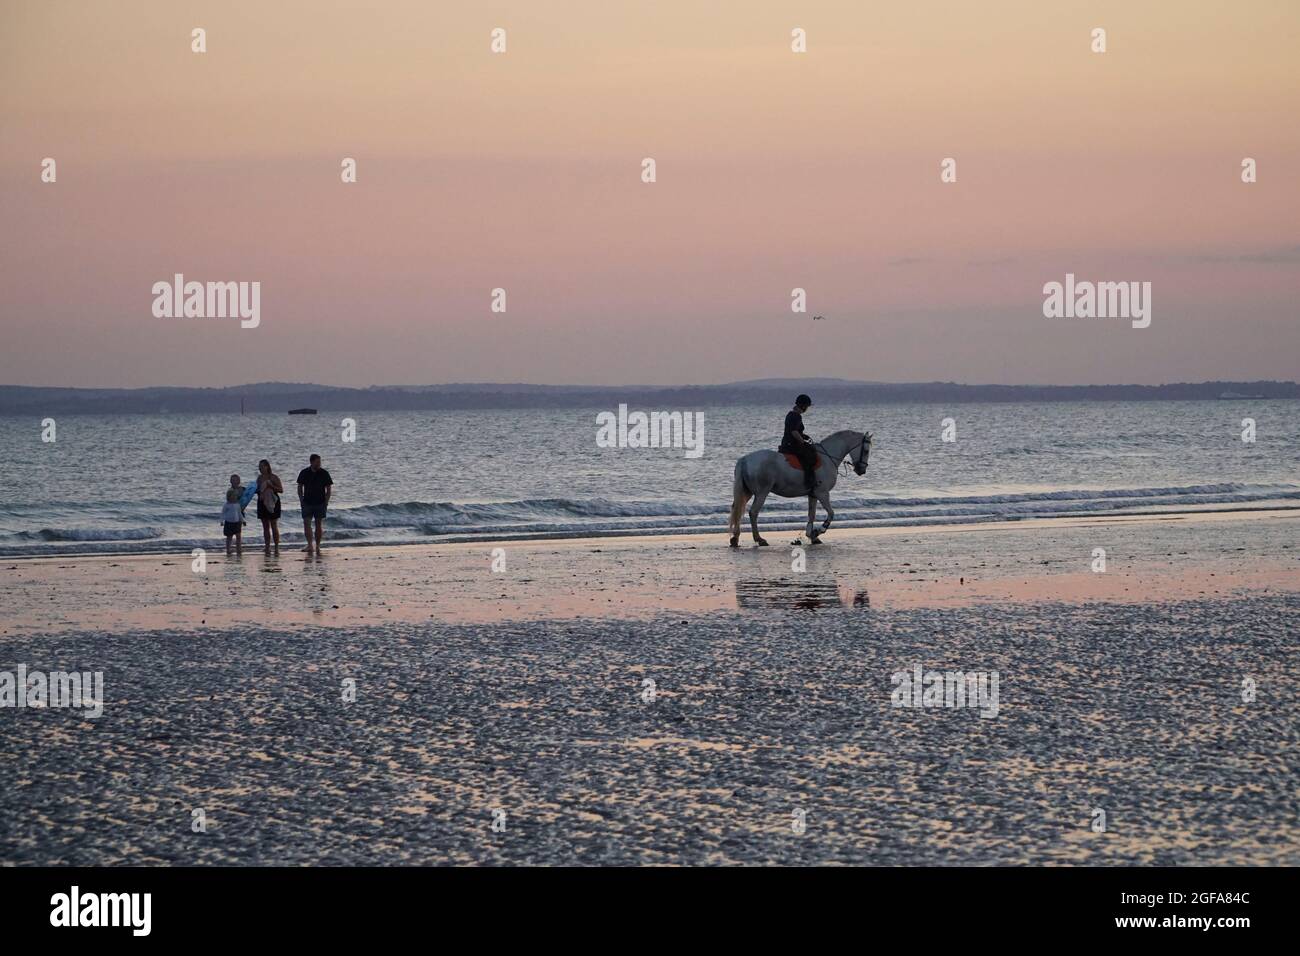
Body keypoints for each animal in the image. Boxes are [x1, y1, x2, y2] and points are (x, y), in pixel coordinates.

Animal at [728, 429, 868, 548]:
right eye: (866, 451)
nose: (862, 470)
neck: (827, 458)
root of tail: (744, 460)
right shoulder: (822, 493)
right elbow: (831, 513)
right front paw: (819, 531)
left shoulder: (813, 494)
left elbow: (811, 514)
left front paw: (812, 536)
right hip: (762, 493)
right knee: (753, 512)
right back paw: (759, 539)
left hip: (747, 492)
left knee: (738, 510)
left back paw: (735, 539)